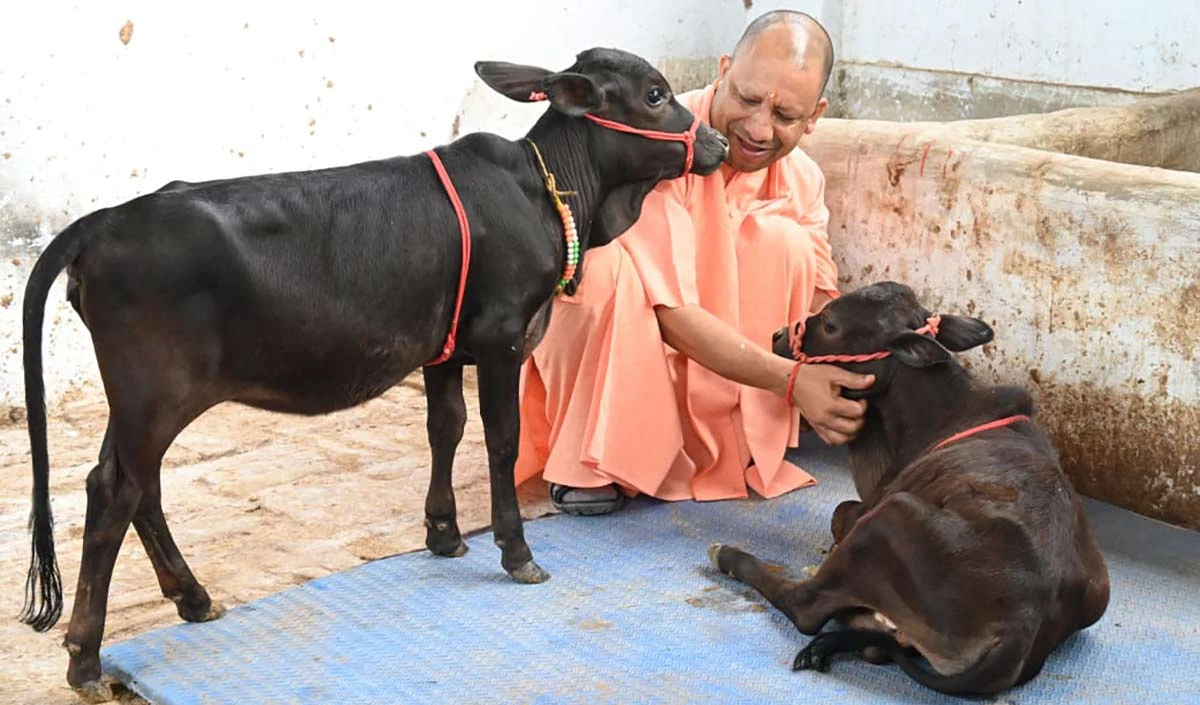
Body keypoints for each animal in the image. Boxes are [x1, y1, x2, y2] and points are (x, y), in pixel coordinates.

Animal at [18, 48, 724, 700]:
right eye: (656, 94)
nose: (716, 143)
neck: (547, 194)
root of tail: (103, 221)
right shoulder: (500, 340)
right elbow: (499, 441)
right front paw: (517, 553)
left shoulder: (444, 349)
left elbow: (446, 428)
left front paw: (444, 535)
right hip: (154, 393)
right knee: (116, 493)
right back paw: (85, 659)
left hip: (138, 403)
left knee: (132, 485)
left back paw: (192, 598)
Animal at [705, 281, 1108, 700]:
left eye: (831, 324)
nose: (778, 334)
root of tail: (1023, 625)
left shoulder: (872, 504)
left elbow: (840, 512)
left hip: (891, 514)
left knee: (805, 607)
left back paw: (728, 556)